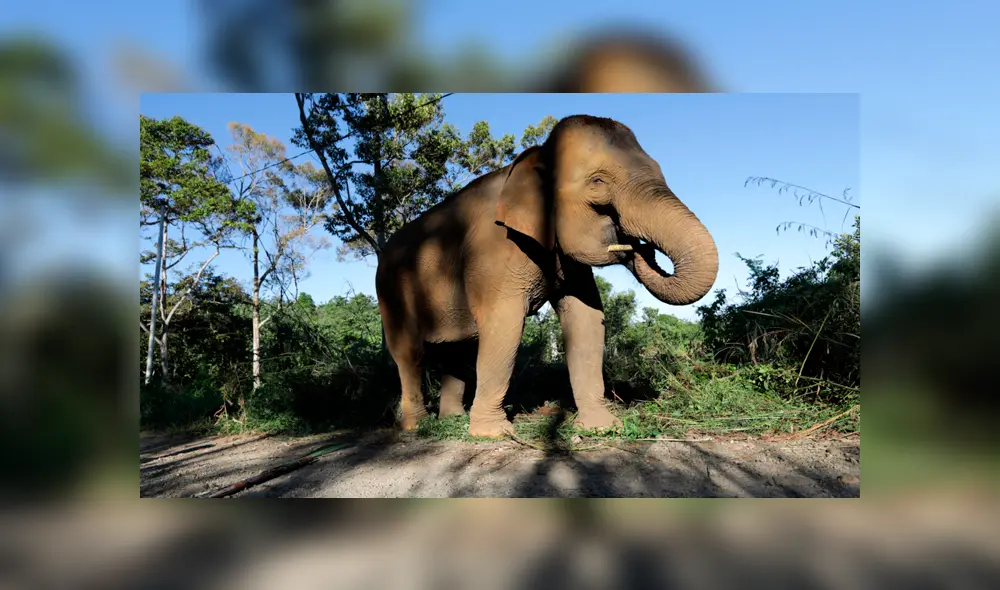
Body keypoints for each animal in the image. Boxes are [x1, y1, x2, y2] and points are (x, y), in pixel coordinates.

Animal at [375, 114, 719, 438]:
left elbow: (586, 318)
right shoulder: (495, 252)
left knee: (456, 352)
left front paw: (602, 428)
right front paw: (493, 433)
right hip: (390, 293)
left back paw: (451, 419)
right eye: (597, 181)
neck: (533, 159)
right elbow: (504, 325)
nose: (634, 245)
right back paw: (416, 426)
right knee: (410, 354)